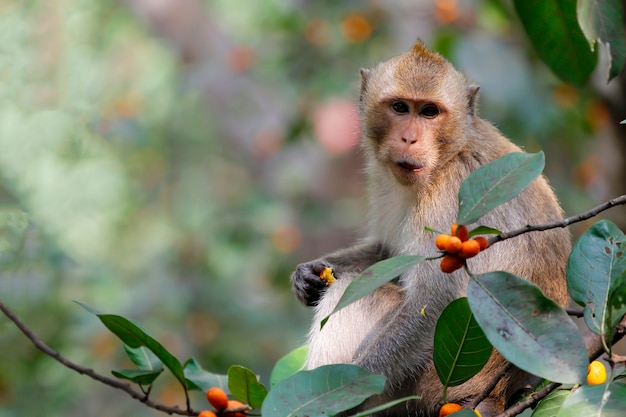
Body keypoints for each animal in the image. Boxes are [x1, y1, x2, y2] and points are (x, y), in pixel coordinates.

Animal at [290, 39, 568, 416]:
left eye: (429, 113)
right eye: (399, 107)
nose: (409, 139)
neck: (448, 155)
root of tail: (497, 394)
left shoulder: (451, 197)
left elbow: (433, 302)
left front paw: (346, 393)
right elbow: (387, 253)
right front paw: (308, 273)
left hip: (429, 384)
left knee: (353, 292)